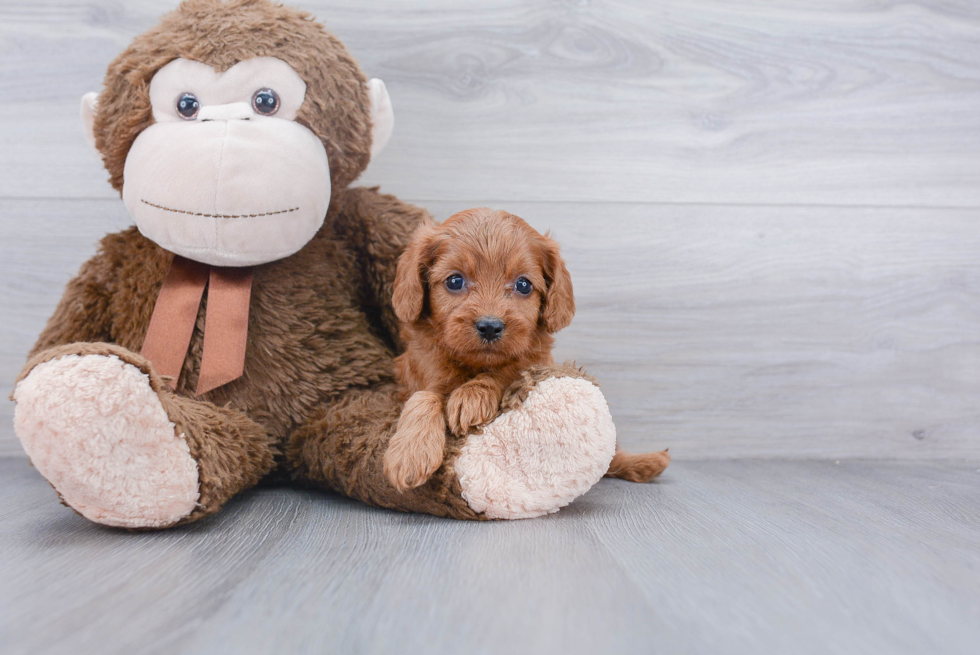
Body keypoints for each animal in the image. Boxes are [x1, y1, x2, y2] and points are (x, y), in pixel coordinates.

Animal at [378, 209, 668, 492]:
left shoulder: (534, 362)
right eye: (455, 281)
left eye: (523, 285)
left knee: (614, 458)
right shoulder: (416, 372)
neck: (475, 365)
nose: (490, 326)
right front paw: (410, 454)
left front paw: (472, 396)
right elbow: (424, 396)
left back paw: (646, 462)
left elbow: (506, 373)